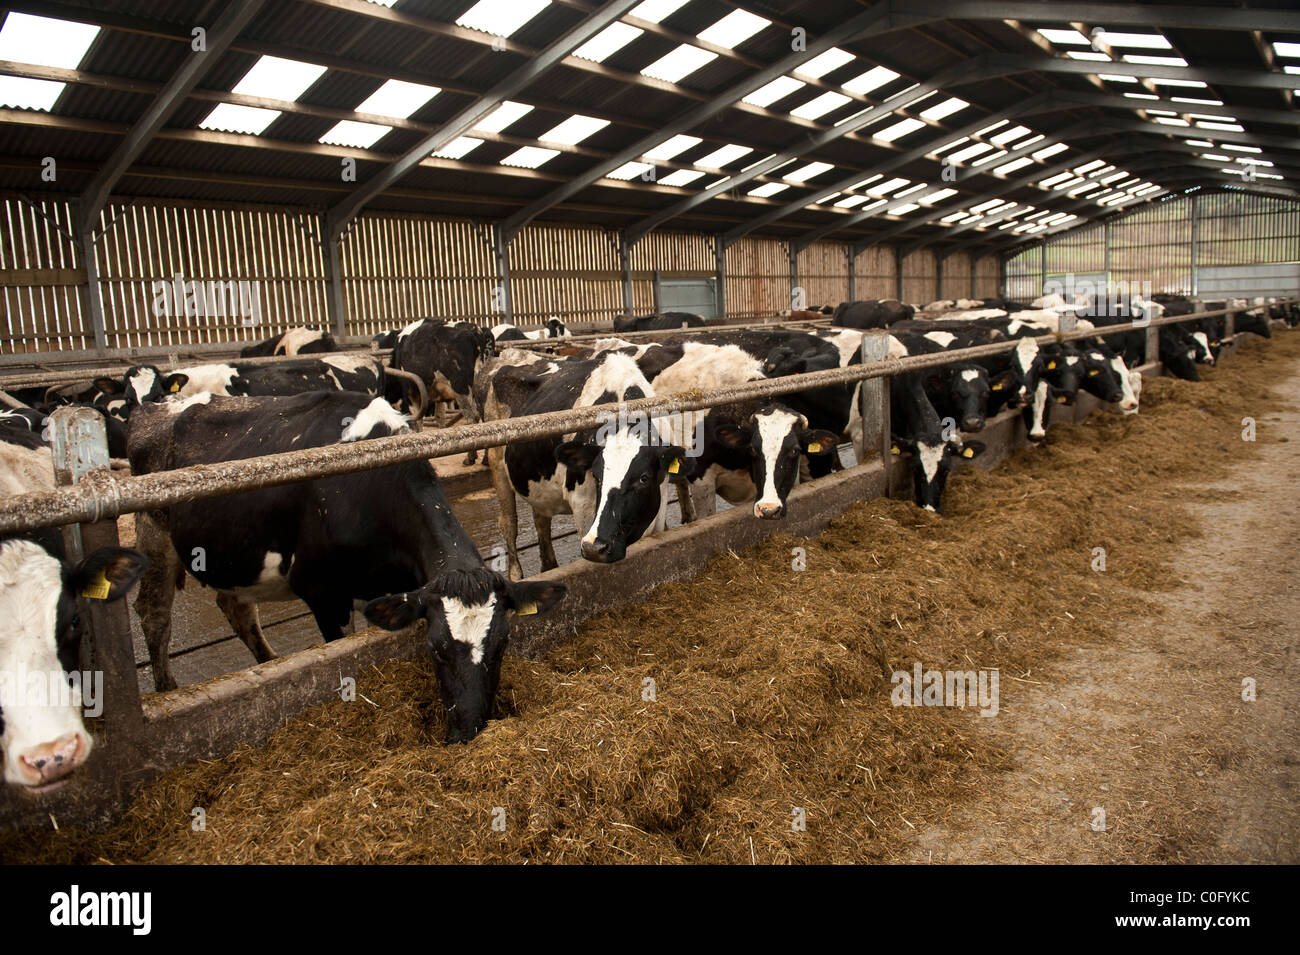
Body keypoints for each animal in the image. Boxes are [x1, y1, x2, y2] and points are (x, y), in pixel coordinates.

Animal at [483, 350, 686, 574]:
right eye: (596, 475)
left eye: (644, 478)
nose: (595, 548)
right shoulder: (582, 504)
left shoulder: (660, 501)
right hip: (497, 465)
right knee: (509, 524)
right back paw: (517, 574)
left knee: (541, 520)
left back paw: (549, 566)